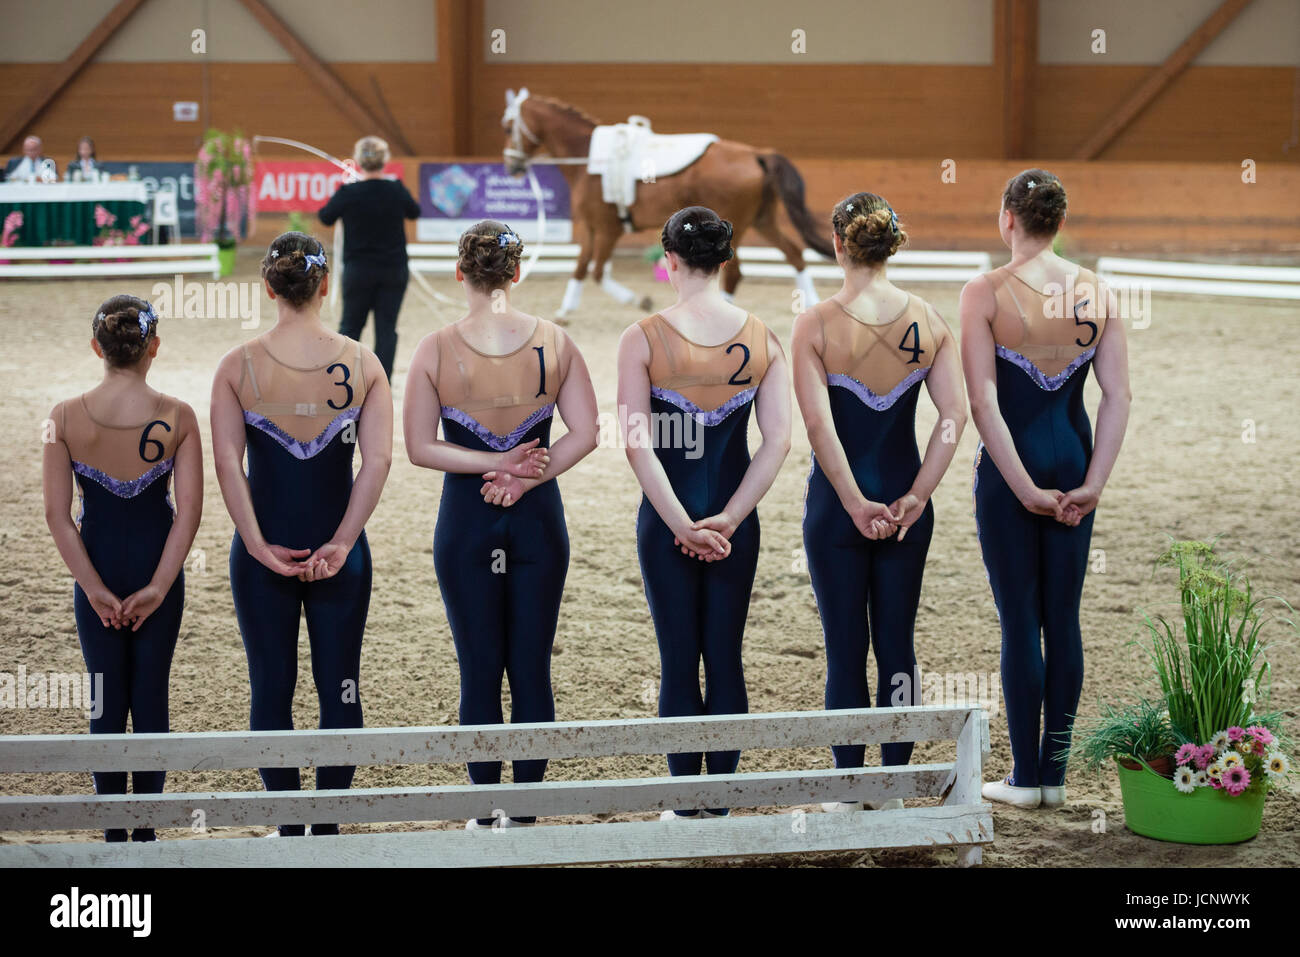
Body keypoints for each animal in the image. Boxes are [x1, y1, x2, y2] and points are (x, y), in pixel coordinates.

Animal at [501, 88, 826, 317]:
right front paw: (565, 311)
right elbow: (580, 269)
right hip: (762, 220)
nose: (511, 167)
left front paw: (641, 301)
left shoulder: (608, 230)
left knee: (736, 273)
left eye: (508, 127)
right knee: (795, 254)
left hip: (737, 225)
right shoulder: (592, 229)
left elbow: (596, 272)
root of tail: (756, 153)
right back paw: (812, 304)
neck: (588, 159)